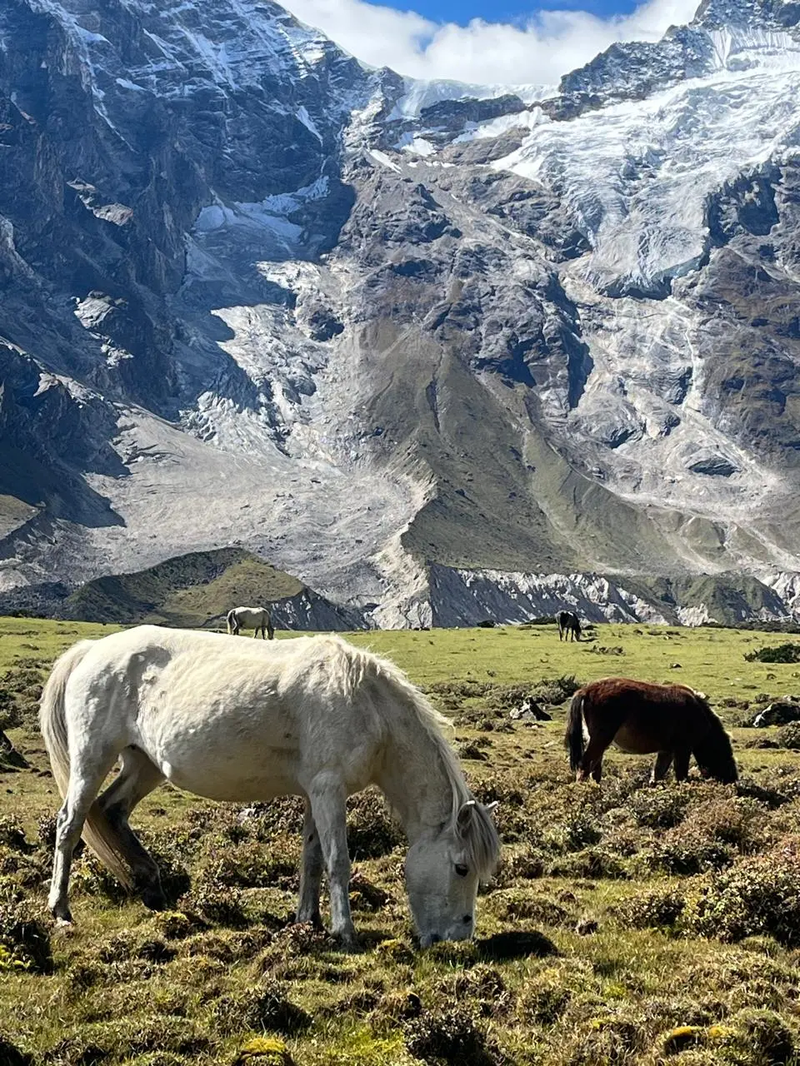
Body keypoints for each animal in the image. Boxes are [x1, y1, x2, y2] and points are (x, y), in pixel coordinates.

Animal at [39, 626, 500, 948]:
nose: (460, 938)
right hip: (92, 758)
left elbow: (312, 858)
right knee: (71, 824)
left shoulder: (316, 793)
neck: (368, 707)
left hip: (144, 764)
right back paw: (60, 909)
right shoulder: (329, 789)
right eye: (461, 868)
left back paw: (151, 886)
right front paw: (344, 932)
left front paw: (307, 922)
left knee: (111, 812)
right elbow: (338, 861)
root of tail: (92, 650)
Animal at [565, 677, 738, 784]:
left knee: (595, 768)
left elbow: (657, 775)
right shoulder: (682, 750)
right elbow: (681, 775)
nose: (732, 781)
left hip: (597, 740)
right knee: (585, 766)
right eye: (725, 761)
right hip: (601, 739)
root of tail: (586, 690)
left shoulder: (666, 751)